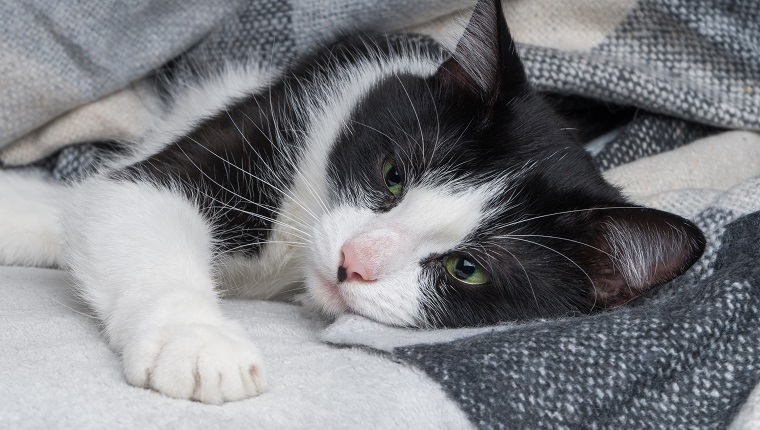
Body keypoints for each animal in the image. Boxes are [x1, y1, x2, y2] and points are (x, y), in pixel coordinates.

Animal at [0, 0, 708, 404]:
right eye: (393, 176)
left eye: (466, 269)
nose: (354, 262)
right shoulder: (283, 113)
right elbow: (130, 194)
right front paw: (197, 343)